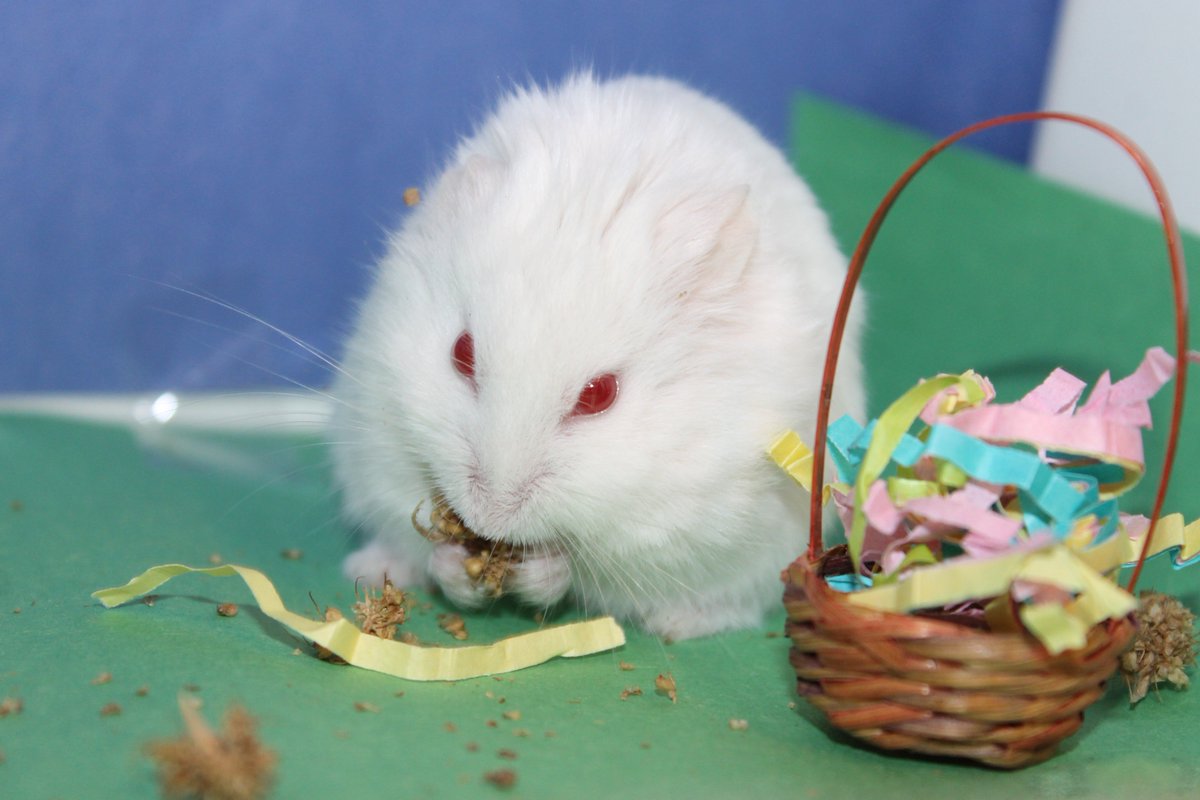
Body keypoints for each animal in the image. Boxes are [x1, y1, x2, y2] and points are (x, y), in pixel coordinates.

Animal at [330, 73, 864, 640]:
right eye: (461, 353)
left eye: (600, 395)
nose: (489, 518)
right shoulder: (382, 432)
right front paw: (458, 566)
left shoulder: (678, 516)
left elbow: (574, 567)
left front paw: (536, 569)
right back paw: (370, 567)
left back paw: (676, 623)